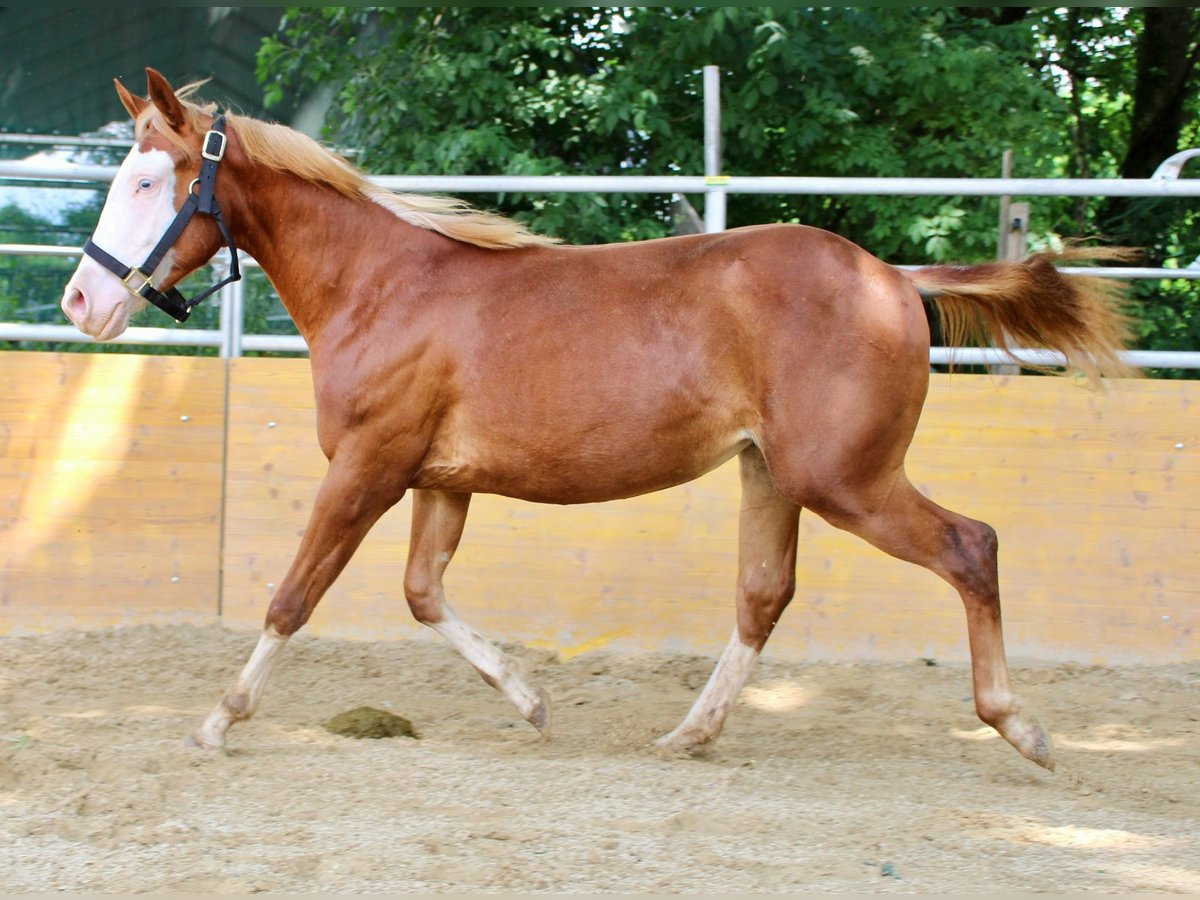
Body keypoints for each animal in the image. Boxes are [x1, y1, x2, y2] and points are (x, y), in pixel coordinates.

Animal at [65, 72, 1132, 777]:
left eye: (150, 182)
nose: (82, 301)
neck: (382, 284)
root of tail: (894, 278)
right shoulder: (440, 481)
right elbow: (422, 595)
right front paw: (534, 702)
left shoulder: (368, 465)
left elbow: (294, 596)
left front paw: (218, 720)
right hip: (772, 475)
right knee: (763, 597)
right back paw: (689, 734)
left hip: (847, 481)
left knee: (971, 547)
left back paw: (1023, 729)